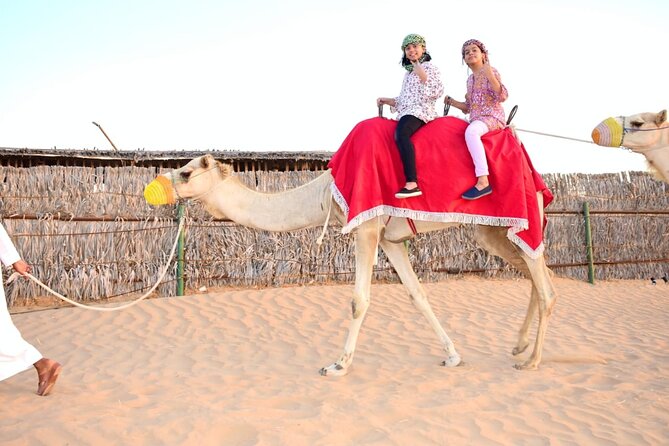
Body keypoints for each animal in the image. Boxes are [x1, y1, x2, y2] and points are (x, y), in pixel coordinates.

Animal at [144, 154, 558, 374]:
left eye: (186, 172)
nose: (154, 186)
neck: (324, 193)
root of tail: (538, 178)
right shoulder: (391, 239)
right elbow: (417, 294)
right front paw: (453, 355)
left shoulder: (366, 227)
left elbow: (359, 299)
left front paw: (338, 364)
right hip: (493, 232)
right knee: (540, 274)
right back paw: (520, 347)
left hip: (517, 218)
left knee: (545, 284)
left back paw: (533, 360)